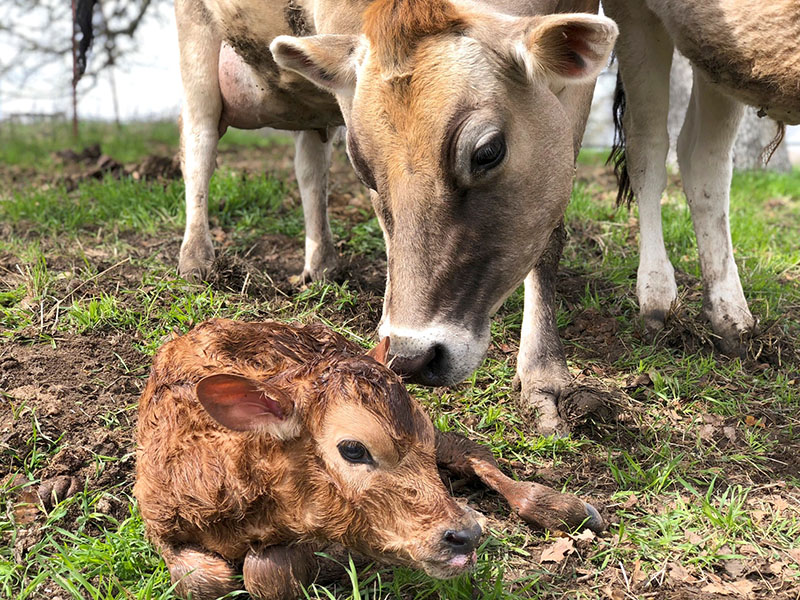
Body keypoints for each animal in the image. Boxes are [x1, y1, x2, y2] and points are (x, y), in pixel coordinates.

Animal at [134, 316, 604, 596]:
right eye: (353, 449)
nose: (464, 535)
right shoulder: (157, 519)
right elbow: (203, 581)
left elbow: (265, 572)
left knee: (468, 450)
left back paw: (561, 506)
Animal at [178, 0, 620, 436]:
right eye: (363, 167)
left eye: (488, 151)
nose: (413, 357)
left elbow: (550, 238)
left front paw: (545, 376)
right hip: (196, 41)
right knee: (199, 147)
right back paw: (196, 260)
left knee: (310, 167)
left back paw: (321, 265)